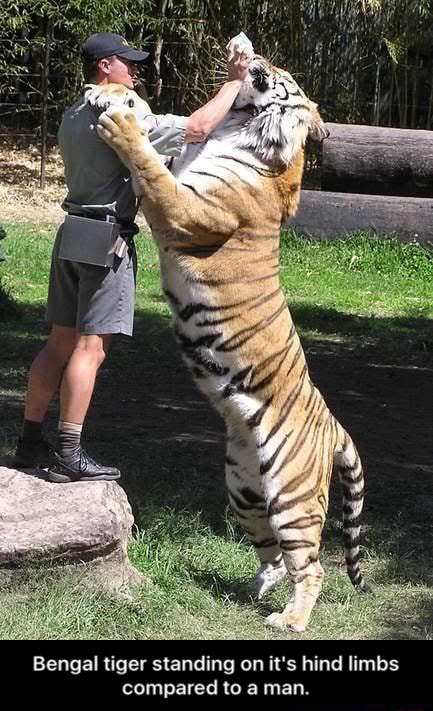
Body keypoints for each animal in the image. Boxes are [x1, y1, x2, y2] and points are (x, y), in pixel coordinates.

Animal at [92, 57, 368, 636]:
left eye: (283, 76)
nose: (254, 60)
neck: (243, 132)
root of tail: (334, 425)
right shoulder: (183, 169)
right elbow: (167, 139)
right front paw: (116, 97)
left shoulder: (187, 207)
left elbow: (148, 164)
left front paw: (122, 124)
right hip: (243, 488)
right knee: (273, 555)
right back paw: (256, 588)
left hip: (291, 495)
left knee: (311, 565)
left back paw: (290, 619)